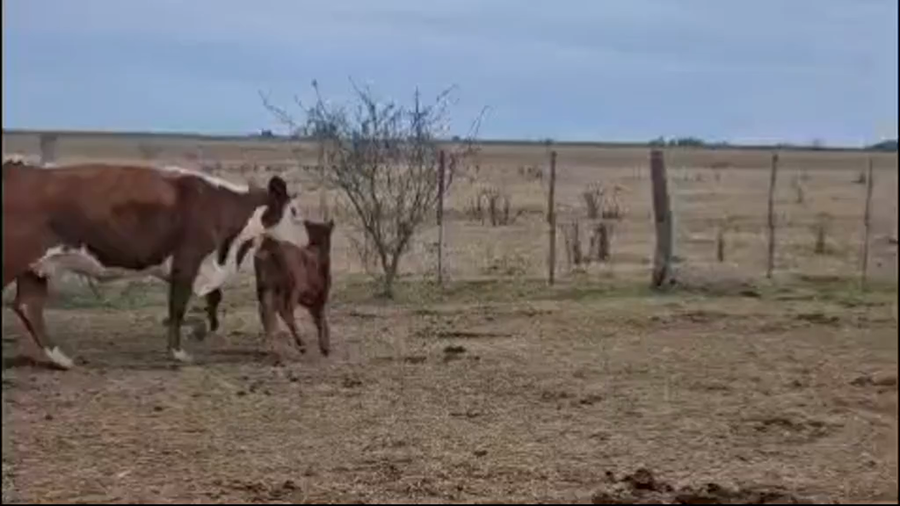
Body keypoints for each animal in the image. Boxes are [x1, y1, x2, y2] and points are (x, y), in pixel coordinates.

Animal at [2, 159, 306, 369]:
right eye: (294, 212)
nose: (306, 241)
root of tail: (19, 170)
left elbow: (212, 299)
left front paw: (200, 332)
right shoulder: (187, 261)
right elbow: (178, 306)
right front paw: (178, 353)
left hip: (35, 267)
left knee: (29, 306)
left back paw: (61, 359)